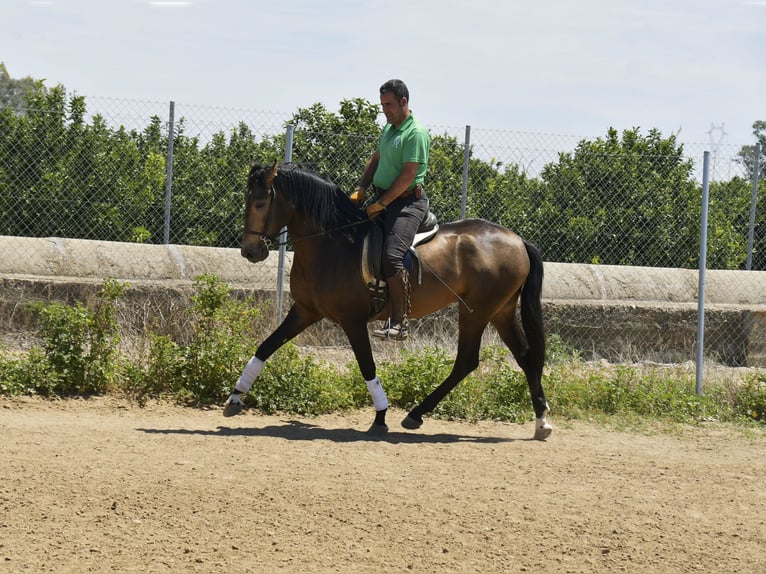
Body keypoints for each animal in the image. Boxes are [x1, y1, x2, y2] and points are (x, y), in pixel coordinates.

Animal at [225, 162, 556, 440]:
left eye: (260, 203)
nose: (250, 251)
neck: (331, 243)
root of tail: (517, 240)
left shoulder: (353, 321)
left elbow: (367, 366)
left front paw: (380, 416)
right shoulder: (305, 311)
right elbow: (265, 347)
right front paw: (235, 396)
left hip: (477, 311)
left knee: (467, 361)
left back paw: (416, 414)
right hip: (500, 311)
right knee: (524, 356)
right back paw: (540, 421)